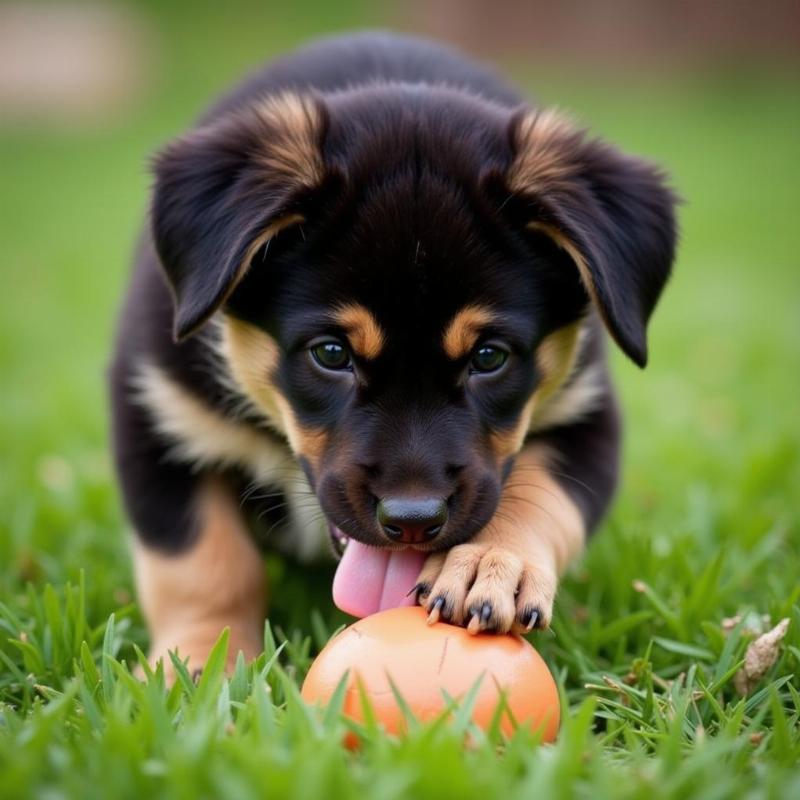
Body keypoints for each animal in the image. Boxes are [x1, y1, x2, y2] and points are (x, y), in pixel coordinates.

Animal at [111, 31, 676, 672]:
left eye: (490, 357)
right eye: (331, 353)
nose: (411, 522)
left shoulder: (587, 413)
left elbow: (540, 498)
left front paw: (488, 566)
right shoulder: (159, 416)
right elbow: (204, 566)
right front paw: (198, 665)